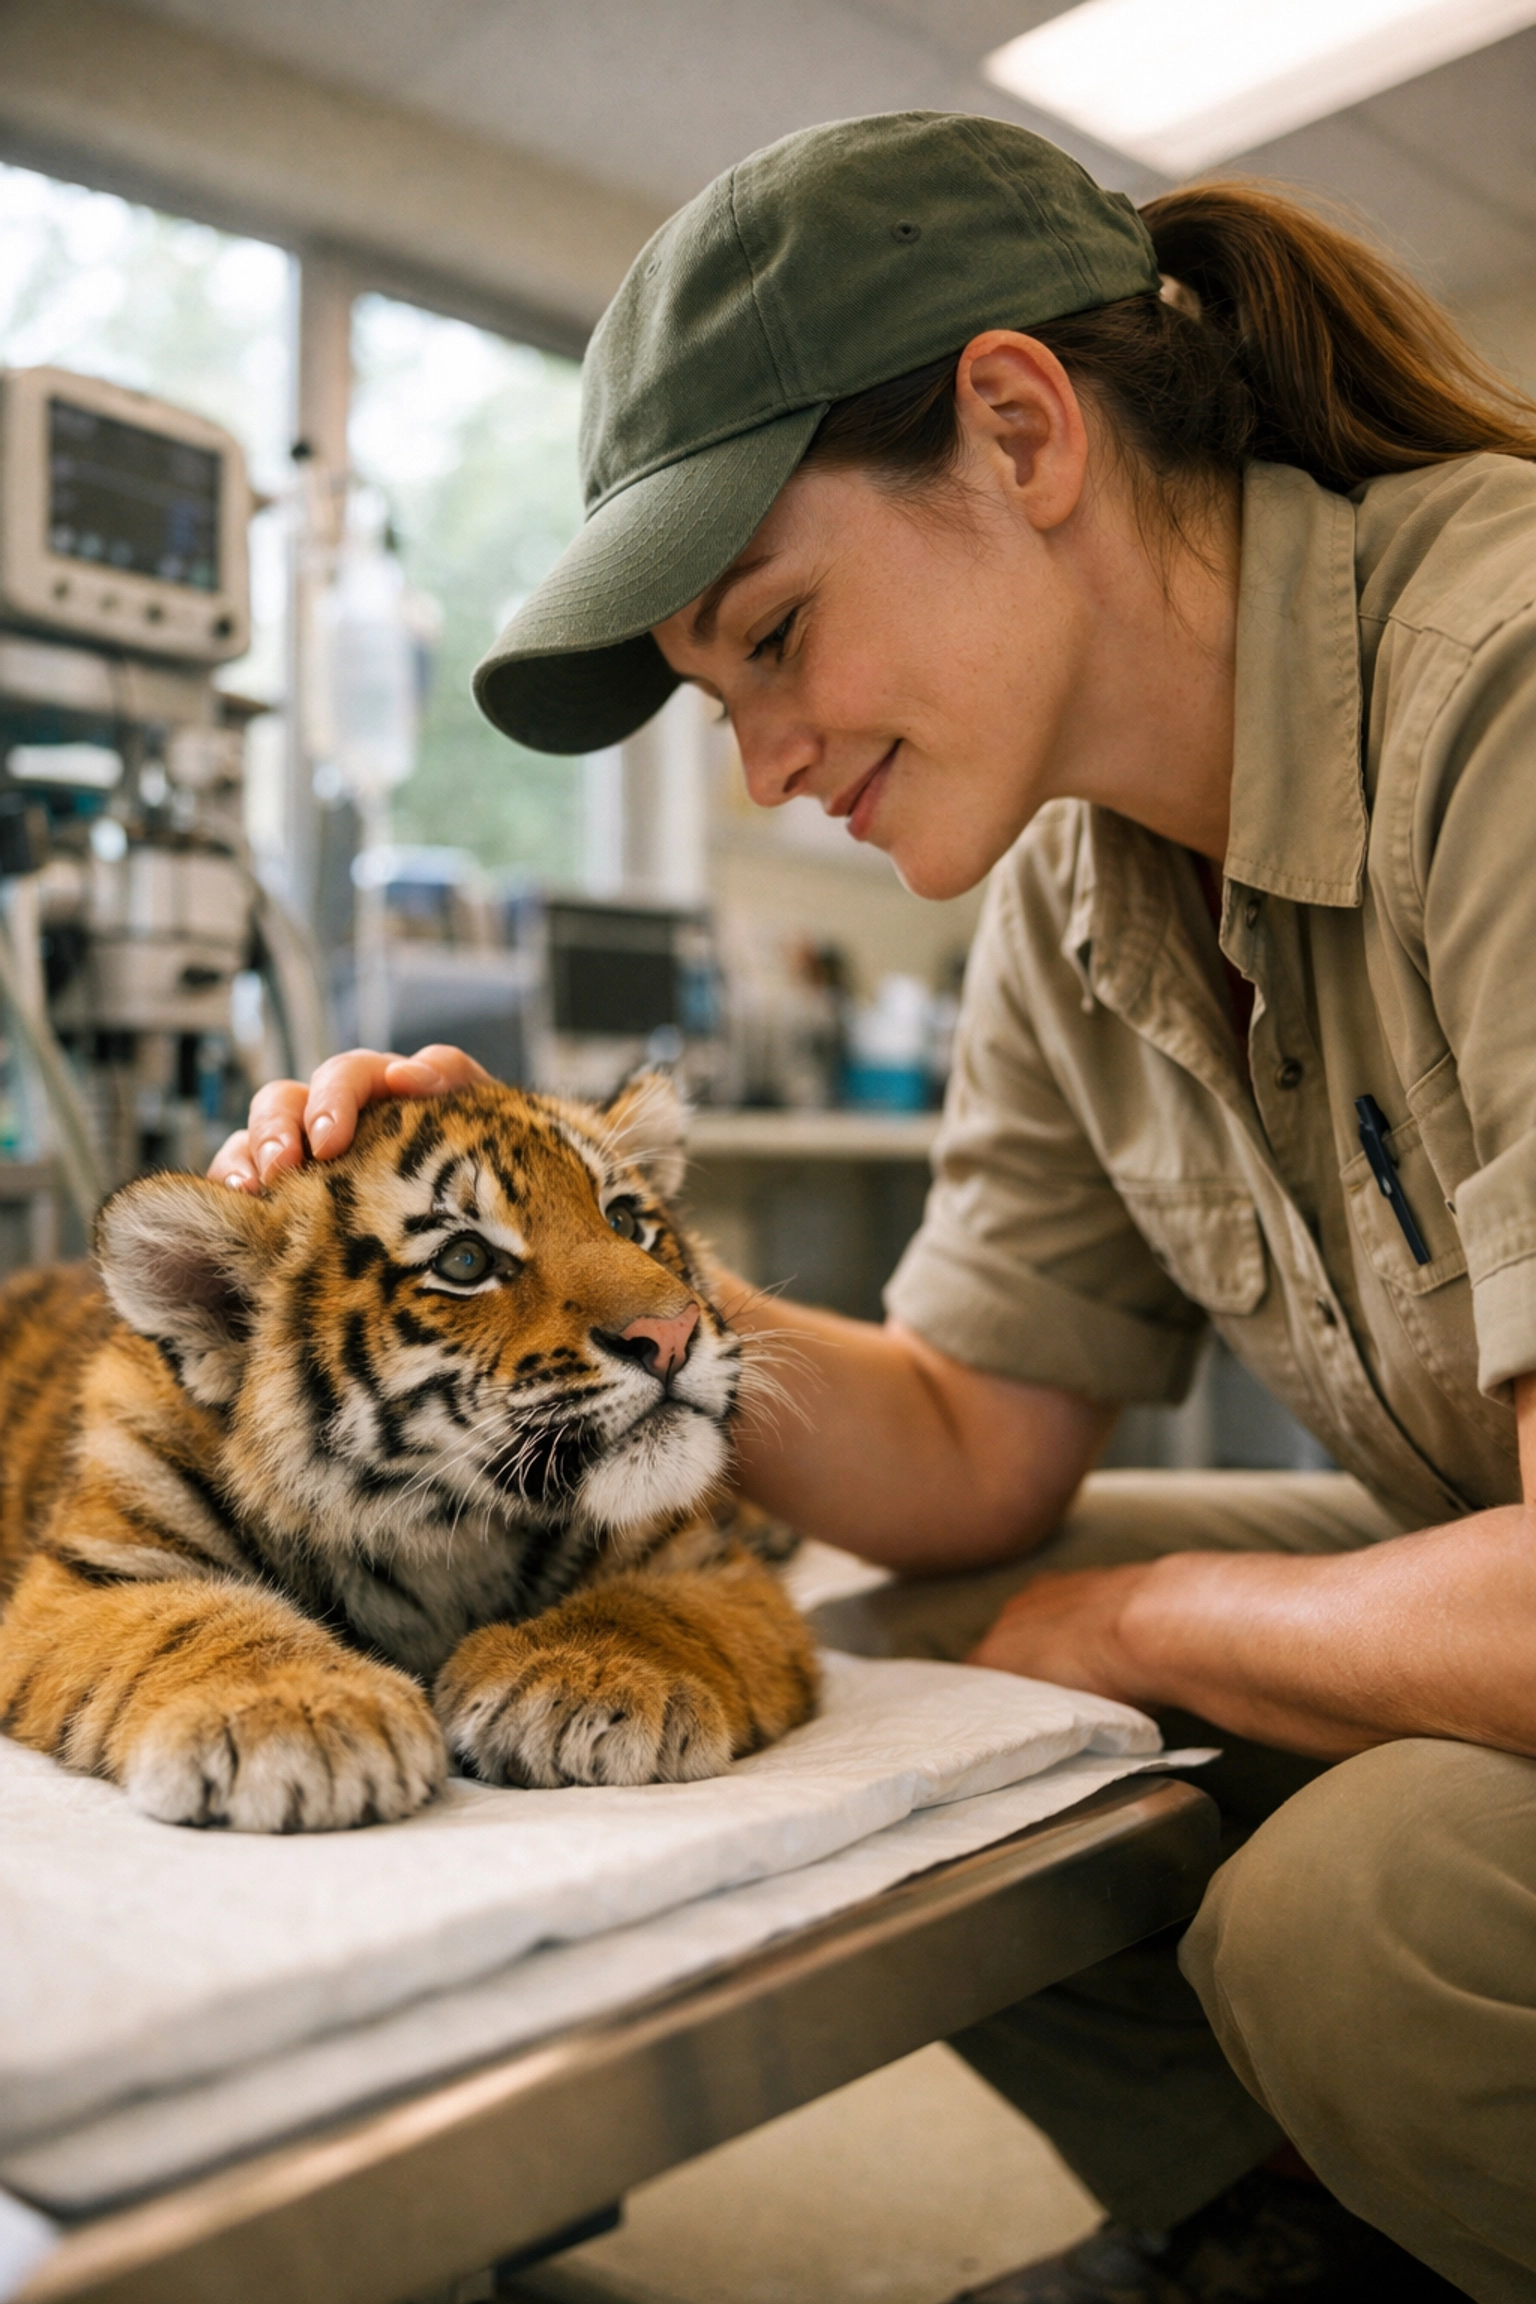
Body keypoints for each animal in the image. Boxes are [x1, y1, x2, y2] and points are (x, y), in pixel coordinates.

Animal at [0, 1072, 819, 1832]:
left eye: (624, 1219)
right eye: (464, 1262)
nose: (672, 1334)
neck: (440, 1528)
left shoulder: (704, 1562)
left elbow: (645, 1609)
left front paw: (586, 1681)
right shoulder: (91, 1576)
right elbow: (194, 1620)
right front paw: (299, 1718)